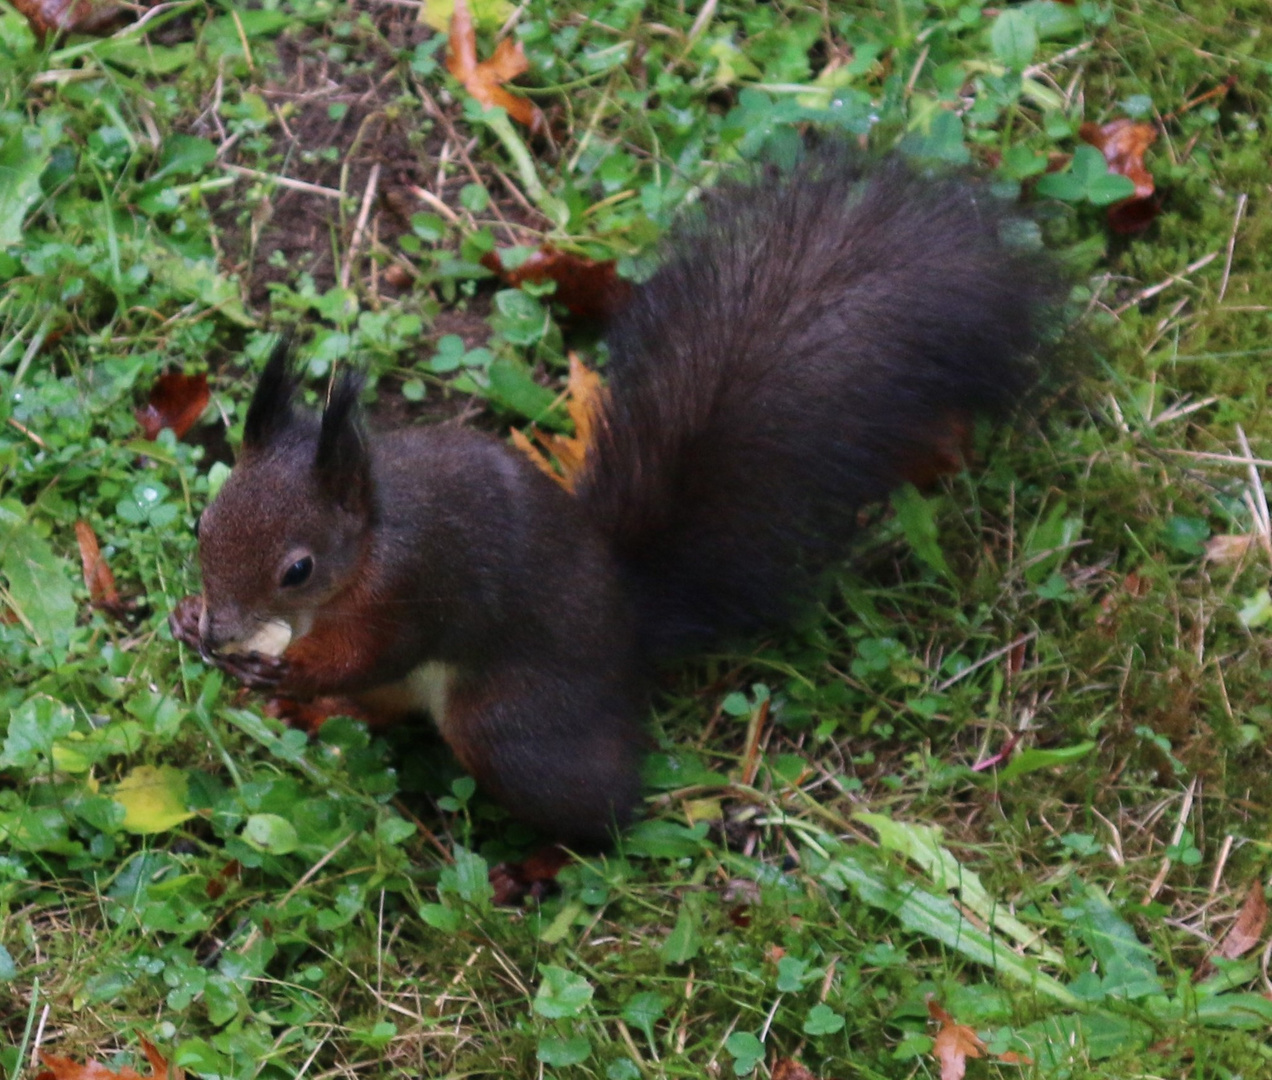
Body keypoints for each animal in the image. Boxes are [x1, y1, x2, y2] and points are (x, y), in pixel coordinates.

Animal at [171, 151, 1063, 844]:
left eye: (297, 569)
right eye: (204, 522)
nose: (219, 629)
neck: (370, 540)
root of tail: (630, 624)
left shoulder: (413, 584)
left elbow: (372, 648)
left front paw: (287, 670)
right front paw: (191, 620)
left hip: (508, 723)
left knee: (604, 808)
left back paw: (536, 862)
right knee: (383, 710)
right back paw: (320, 717)